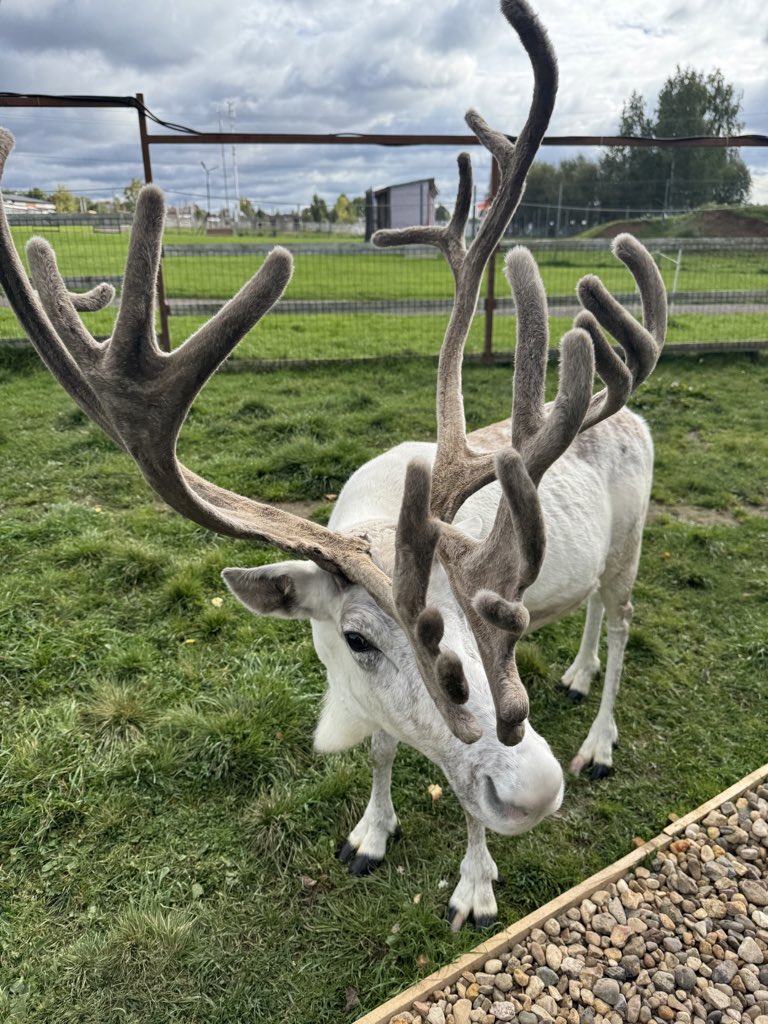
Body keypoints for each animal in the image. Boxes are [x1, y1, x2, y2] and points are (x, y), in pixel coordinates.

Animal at [0, 0, 666, 930]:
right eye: (356, 637)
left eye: (494, 612)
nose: (535, 790)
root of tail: (629, 408)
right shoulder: (352, 679)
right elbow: (384, 750)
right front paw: (371, 835)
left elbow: (462, 798)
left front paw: (473, 886)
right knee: (597, 615)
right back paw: (574, 673)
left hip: (634, 540)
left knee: (628, 617)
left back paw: (600, 740)